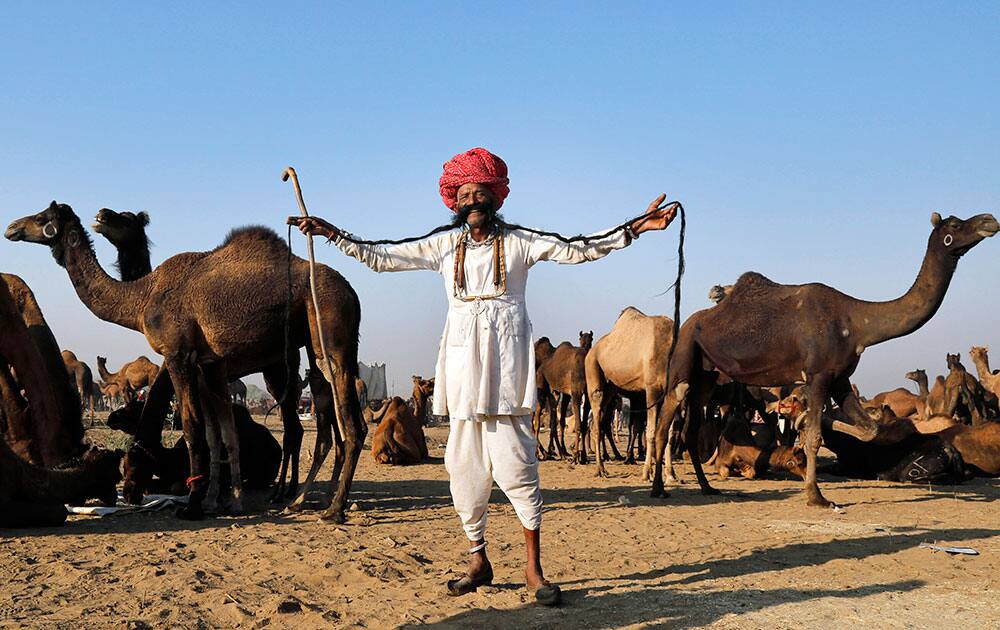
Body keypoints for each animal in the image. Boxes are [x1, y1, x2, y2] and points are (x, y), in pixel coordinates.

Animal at [5, 204, 366, 524]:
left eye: (42, 217)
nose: (11, 228)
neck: (142, 296)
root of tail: (351, 292)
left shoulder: (178, 355)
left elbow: (193, 428)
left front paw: (193, 505)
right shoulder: (208, 364)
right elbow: (217, 433)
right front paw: (215, 501)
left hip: (326, 337)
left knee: (343, 424)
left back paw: (329, 507)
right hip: (313, 350)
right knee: (326, 422)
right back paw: (308, 498)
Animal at [540, 330, 592, 464]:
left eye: (591, 339)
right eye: (580, 339)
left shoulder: (585, 395)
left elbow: (584, 425)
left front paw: (583, 456)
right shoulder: (576, 392)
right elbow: (578, 425)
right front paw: (576, 456)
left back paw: (557, 451)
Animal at [584, 308, 676, 478]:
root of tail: (592, 351)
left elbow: (669, 433)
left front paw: (671, 475)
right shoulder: (652, 389)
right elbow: (651, 431)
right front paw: (647, 472)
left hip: (611, 387)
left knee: (598, 423)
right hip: (593, 370)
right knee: (597, 418)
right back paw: (600, 469)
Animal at [652, 210, 996, 506]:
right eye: (954, 225)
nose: (990, 220)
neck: (857, 322)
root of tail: (690, 323)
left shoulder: (840, 377)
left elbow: (869, 429)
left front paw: (803, 420)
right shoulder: (818, 374)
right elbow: (816, 437)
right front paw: (816, 496)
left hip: (707, 376)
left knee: (691, 428)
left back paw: (707, 487)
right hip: (685, 353)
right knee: (666, 420)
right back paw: (659, 488)